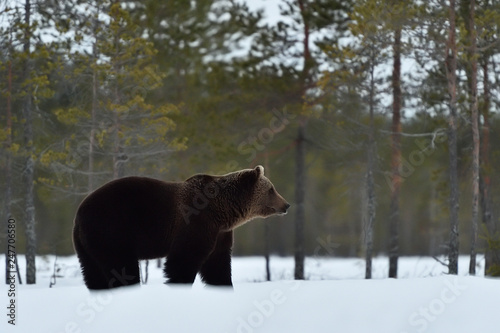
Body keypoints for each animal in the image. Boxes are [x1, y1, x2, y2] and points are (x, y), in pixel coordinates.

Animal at [71, 165, 290, 288]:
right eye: (271, 189)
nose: (286, 204)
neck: (223, 212)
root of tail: (79, 213)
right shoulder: (196, 223)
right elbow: (184, 259)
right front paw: (179, 284)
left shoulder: (220, 233)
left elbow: (218, 264)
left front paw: (223, 285)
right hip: (111, 229)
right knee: (122, 267)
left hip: (87, 245)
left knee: (92, 272)